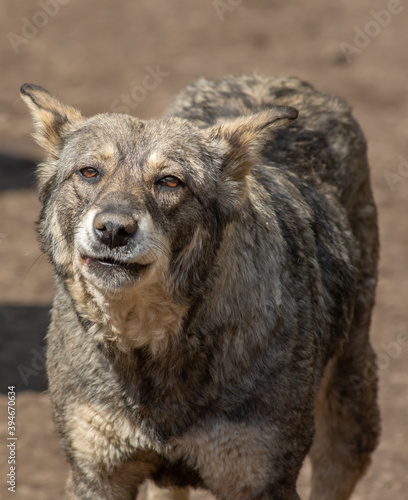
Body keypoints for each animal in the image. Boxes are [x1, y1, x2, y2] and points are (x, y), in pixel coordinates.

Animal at [21, 75, 380, 500]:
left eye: (169, 181)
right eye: (89, 172)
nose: (113, 229)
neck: (153, 349)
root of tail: (276, 79)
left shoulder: (264, 482)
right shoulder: (97, 476)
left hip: (350, 406)